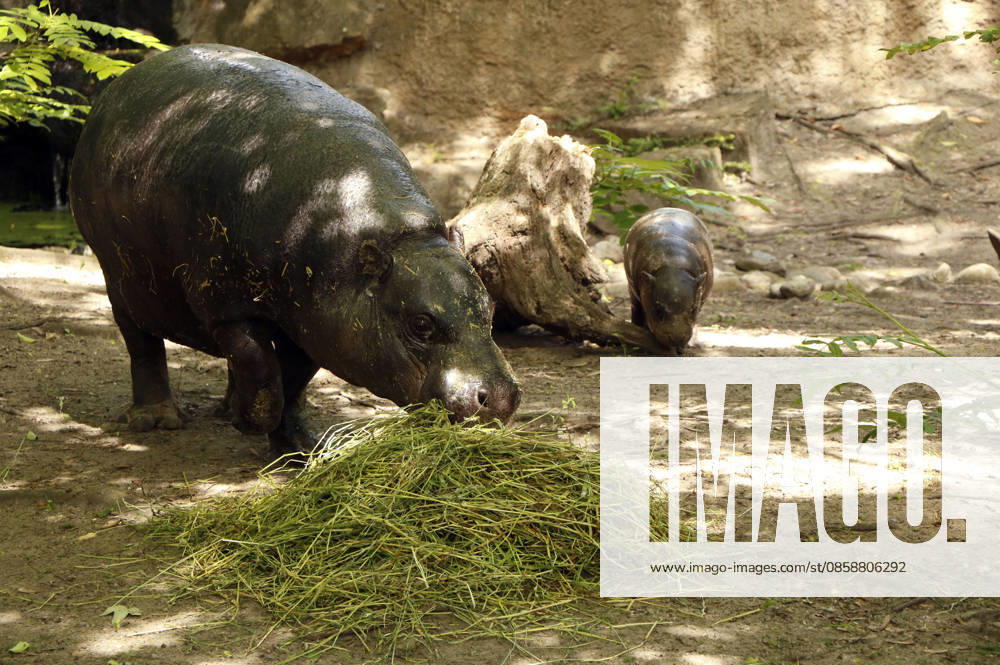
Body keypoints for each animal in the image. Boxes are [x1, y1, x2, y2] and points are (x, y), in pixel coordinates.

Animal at [70, 44, 521, 456]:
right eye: (421, 324)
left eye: (491, 310)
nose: (500, 397)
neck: (400, 238)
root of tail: (126, 79)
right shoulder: (227, 308)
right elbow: (261, 369)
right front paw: (252, 424)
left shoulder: (316, 323)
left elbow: (291, 379)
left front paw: (301, 449)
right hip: (119, 276)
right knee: (141, 343)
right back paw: (157, 420)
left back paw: (226, 409)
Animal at [623, 208, 714, 355]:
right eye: (658, 310)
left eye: (693, 310)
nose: (677, 339)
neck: (674, 264)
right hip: (632, 291)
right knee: (636, 309)